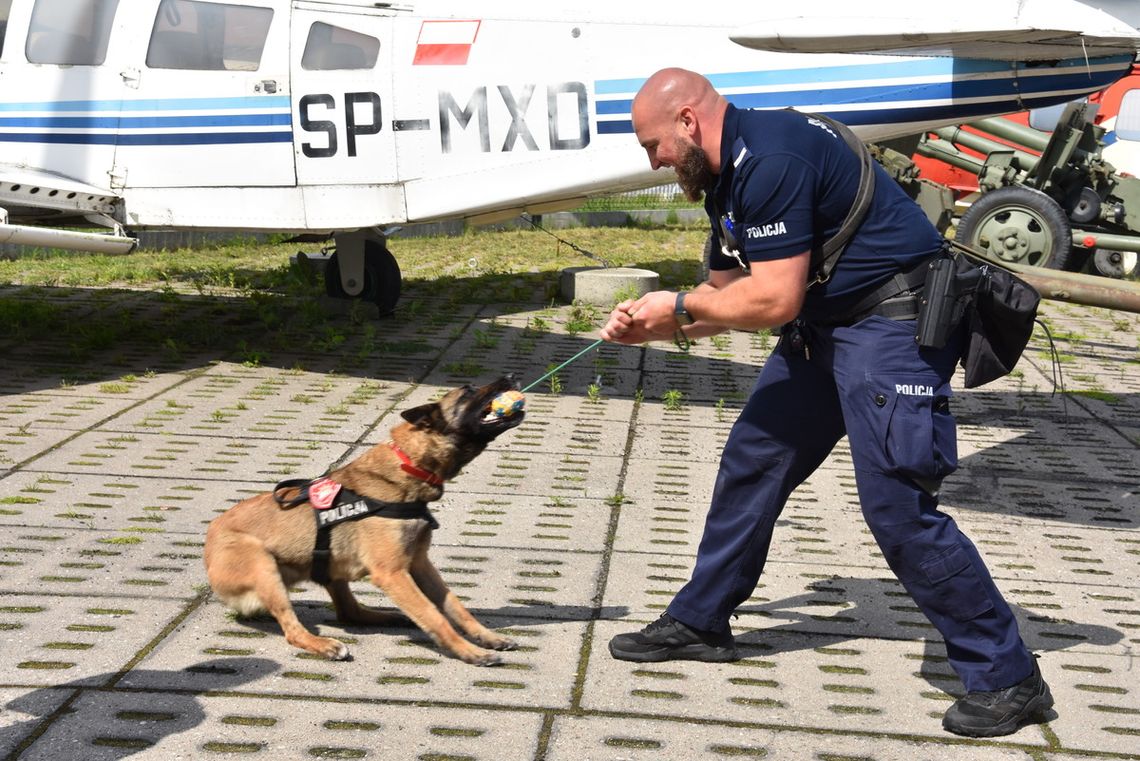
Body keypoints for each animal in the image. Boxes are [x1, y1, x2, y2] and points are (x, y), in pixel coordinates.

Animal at [205, 373, 524, 665]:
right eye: (468, 390)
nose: (510, 376)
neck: (409, 464)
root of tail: (208, 545)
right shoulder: (393, 572)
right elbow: (434, 615)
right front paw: (469, 651)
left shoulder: (420, 563)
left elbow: (455, 606)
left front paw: (486, 637)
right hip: (264, 565)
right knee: (293, 630)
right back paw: (324, 644)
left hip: (329, 565)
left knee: (349, 612)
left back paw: (386, 617)